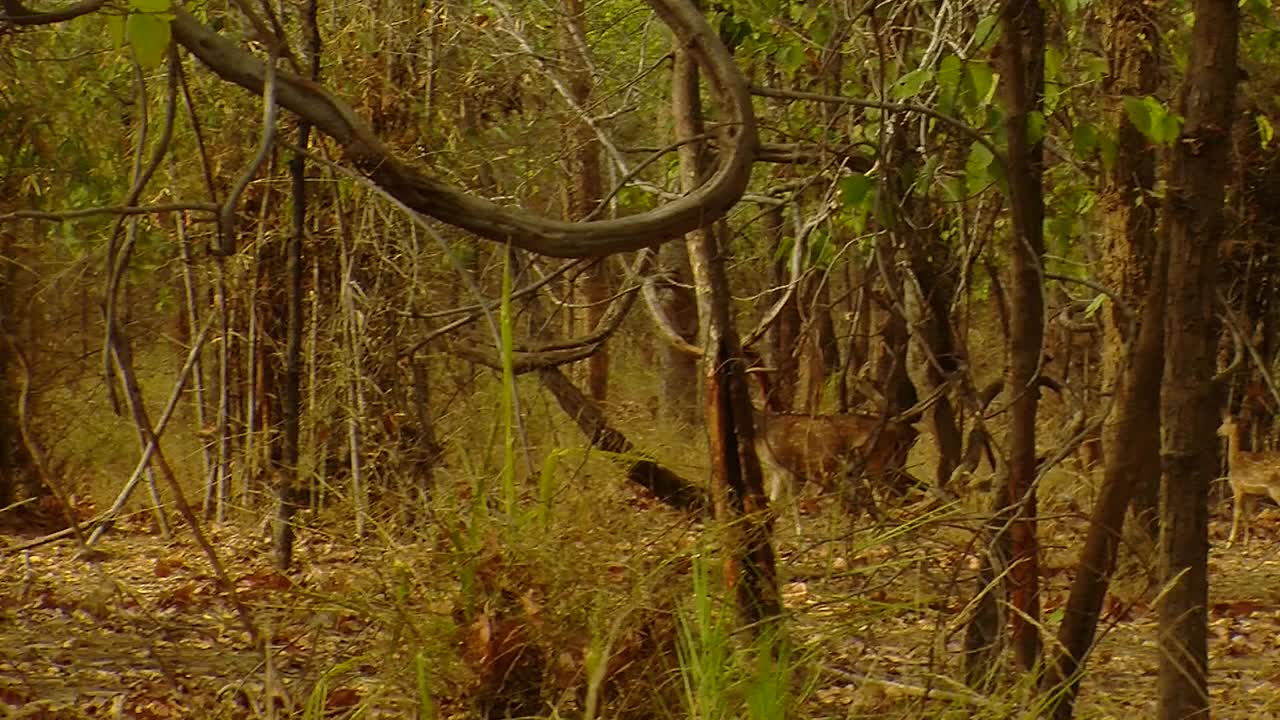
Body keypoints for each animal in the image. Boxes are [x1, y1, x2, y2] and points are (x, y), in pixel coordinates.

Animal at [1213, 412, 1280, 545]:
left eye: (1225, 423)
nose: (1218, 431)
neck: (1234, 460)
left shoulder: (1237, 487)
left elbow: (1236, 513)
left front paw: (1229, 542)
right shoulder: (1250, 493)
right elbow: (1247, 515)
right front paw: (1245, 541)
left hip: (1275, 488)